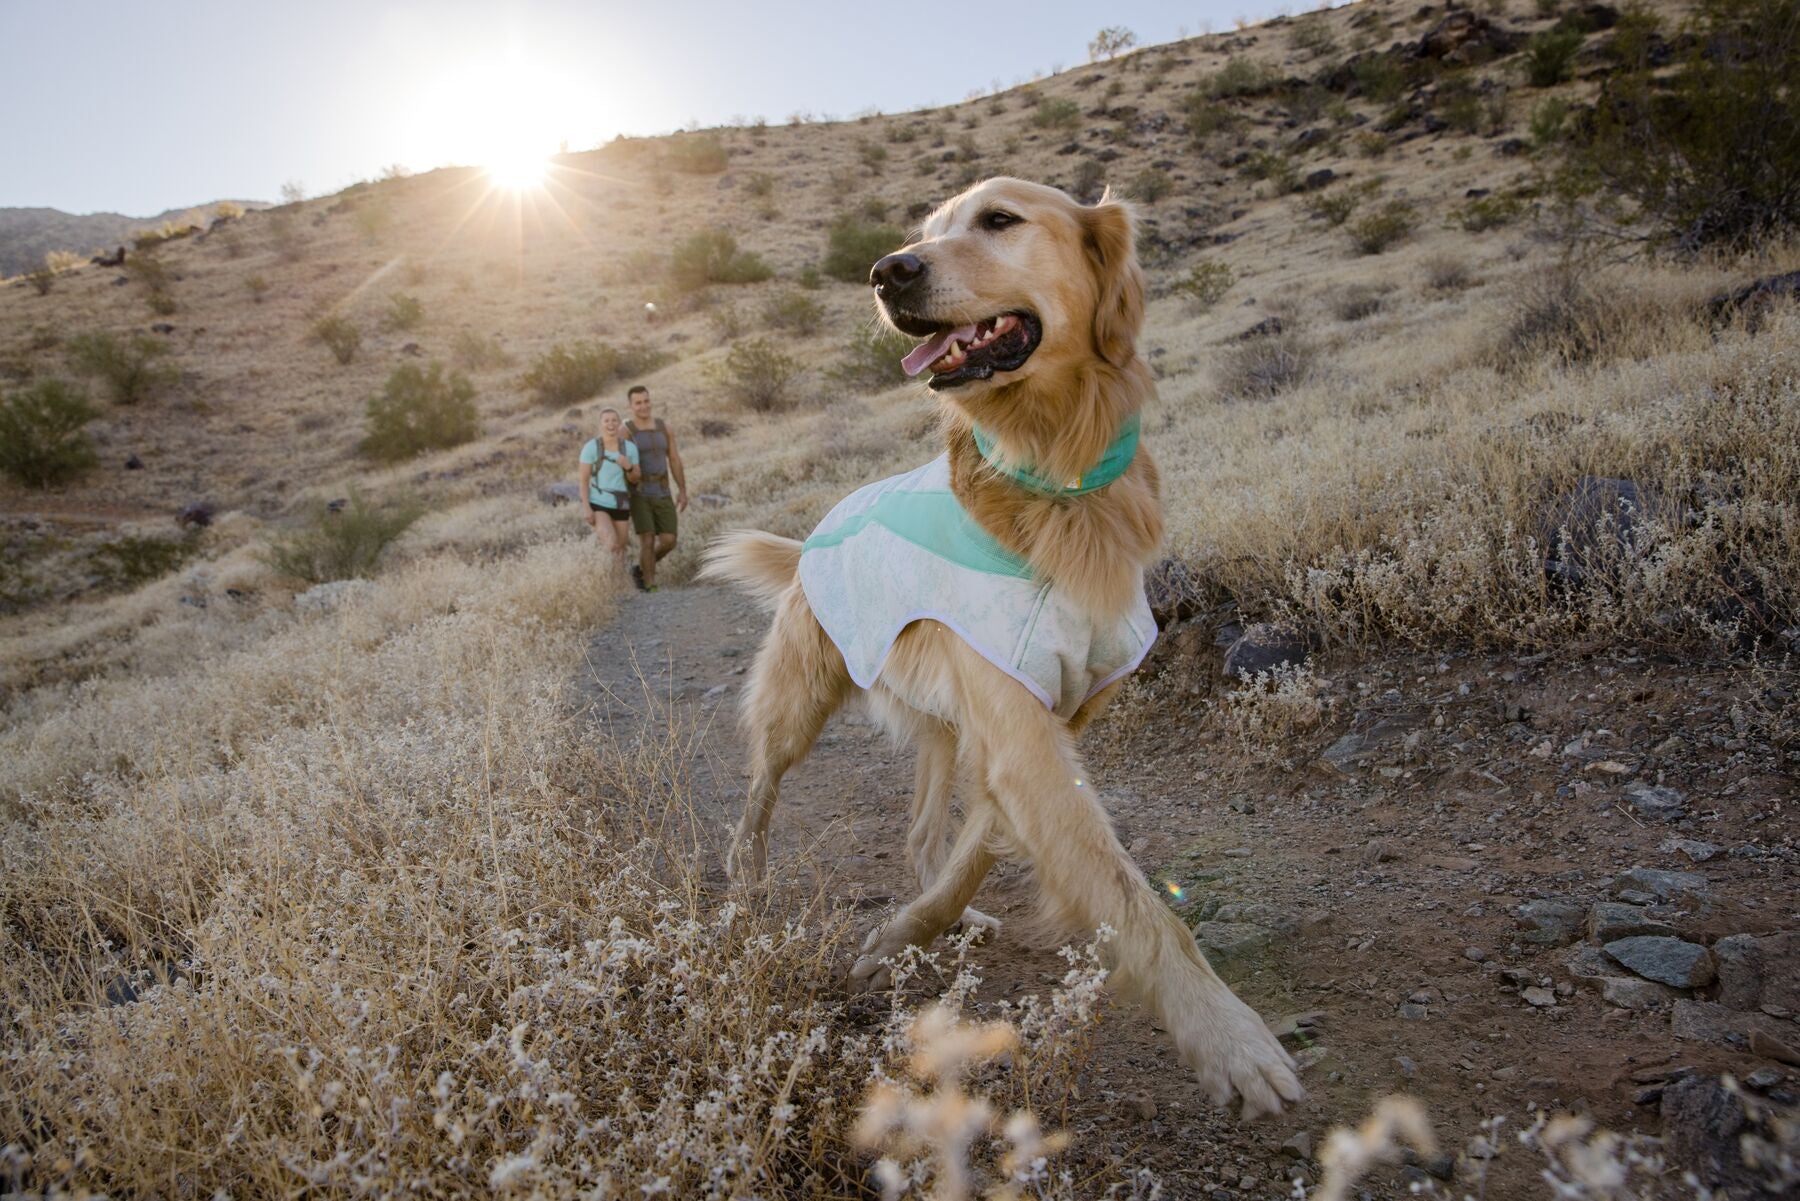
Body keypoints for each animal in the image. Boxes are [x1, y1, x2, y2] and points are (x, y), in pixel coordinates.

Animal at [694, 176, 1303, 1116]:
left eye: (1000, 220)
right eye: (924, 231)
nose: (887, 271)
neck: (1055, 475)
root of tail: (818, 528)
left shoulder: (1044, 720)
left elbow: (978, 850)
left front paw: (908, 931)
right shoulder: (1019, 732)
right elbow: (1135, 901)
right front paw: (1229, 1037)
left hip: (945, 728)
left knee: (919, 832)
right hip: (801, 699)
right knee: (760, 789)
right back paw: (746, 885)